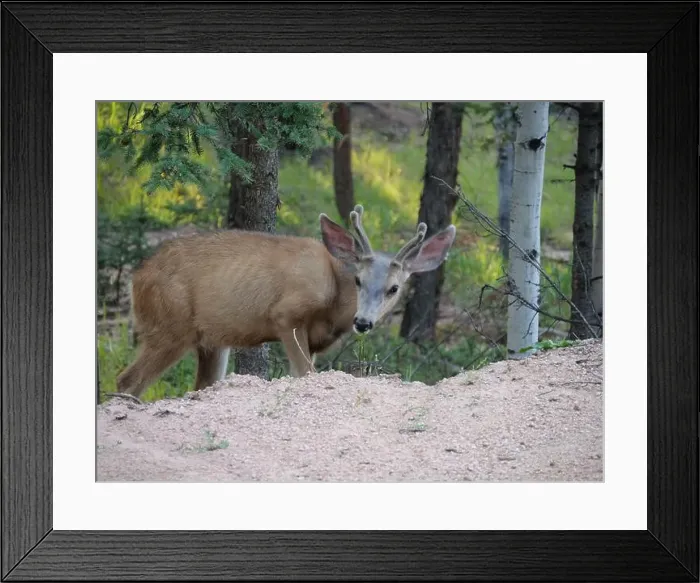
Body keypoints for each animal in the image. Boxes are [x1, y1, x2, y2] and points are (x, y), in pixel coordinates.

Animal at [116, 205, 456, 398]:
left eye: (394, 288)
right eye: (358, 279)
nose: (363, 322)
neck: (334, 301)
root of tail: (136, 279)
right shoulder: (286, 315)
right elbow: (305, 373)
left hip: (210, 341)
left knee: (199, 386)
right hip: (169, 325)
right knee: (126, 380)